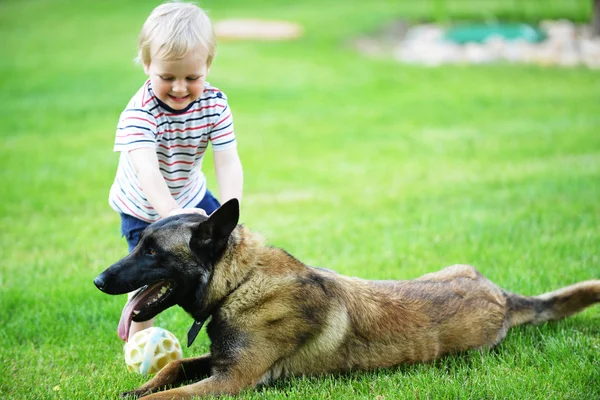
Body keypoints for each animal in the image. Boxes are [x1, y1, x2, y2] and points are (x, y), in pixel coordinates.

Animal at [94, 198, 600, 398]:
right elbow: (174, 368)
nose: (98, 281)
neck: (240, 283)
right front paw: (135, 387)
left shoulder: (232, 380)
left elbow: (168, 396)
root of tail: (501, 296)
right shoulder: (220, 365)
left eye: (152, 251)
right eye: (138, 243)